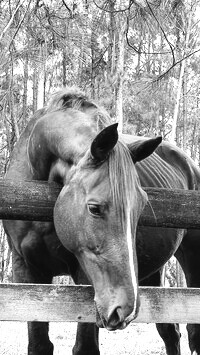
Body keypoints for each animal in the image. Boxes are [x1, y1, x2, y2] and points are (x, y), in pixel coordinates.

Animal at [2, 87, 200, 355]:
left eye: (140, 208)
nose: (125, 309)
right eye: (94, 208)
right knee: (170, 332)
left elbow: (85, 346)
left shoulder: (85, 275)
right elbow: (39, 344)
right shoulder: (26, 269)